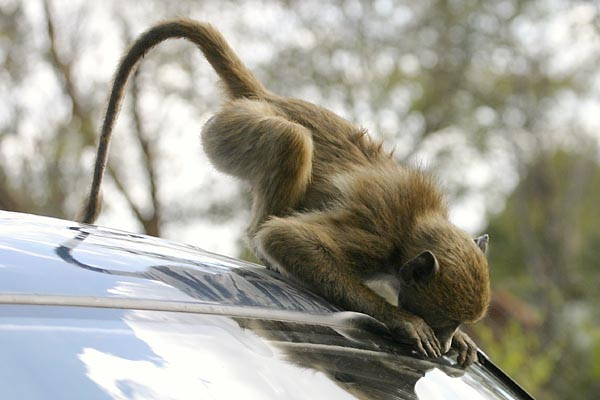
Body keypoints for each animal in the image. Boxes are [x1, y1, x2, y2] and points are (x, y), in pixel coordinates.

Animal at [82, 19, 490, 368]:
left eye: (457, 322)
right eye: (445, 319)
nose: (449, 338)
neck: (415, 226)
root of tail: (270, 98)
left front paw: (462, 341)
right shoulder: (375, 237)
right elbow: (287, 238)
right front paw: (401, 319)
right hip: (228, 130)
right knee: (289, 141)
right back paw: (264, 245)